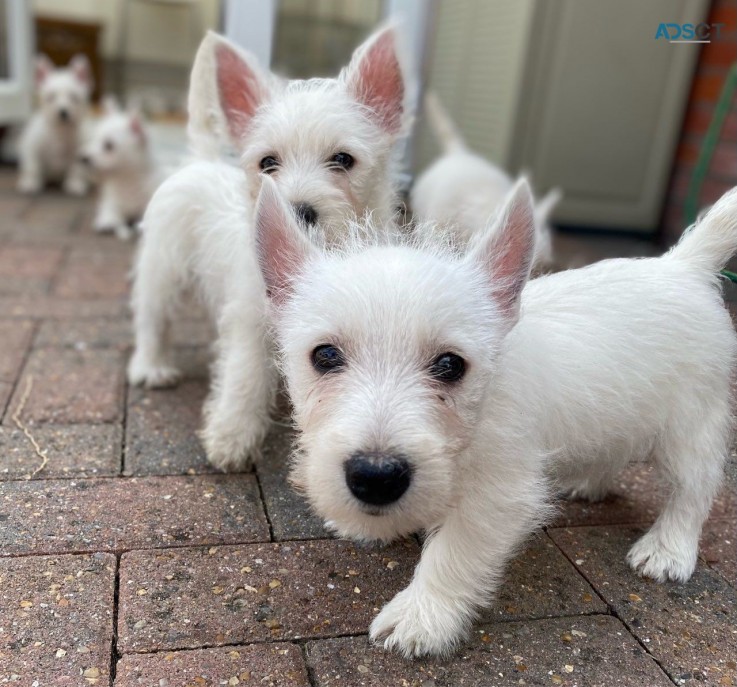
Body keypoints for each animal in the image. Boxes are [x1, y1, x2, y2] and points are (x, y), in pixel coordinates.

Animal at [16, 54, 93, 195]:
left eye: (74, 97)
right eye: (50, 97)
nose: (63, 112)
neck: (60, 130)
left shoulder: (79, 154)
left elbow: (76, 170)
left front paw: (75, 183)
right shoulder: (33, 148)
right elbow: (33, 167)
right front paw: (30, 183)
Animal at [83, 98, 164, 241]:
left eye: (108, 145)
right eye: (93, 139)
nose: (83, 158)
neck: (126, 180)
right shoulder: (115, 206)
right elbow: (118, 222)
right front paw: (122, 232)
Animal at [129, 24, 412, 470]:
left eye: (343, 159)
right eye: (267, 163)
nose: (298, 209)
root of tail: (199, 159)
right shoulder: (250, 320)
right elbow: (244, 376)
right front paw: (231, 437)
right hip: (163, 268)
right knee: (151, 317)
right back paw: (151, 367)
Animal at [254, 175, 736, 660]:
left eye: (451, 365)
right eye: (325, 356)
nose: (376, 476)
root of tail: (684, 266)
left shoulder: (501, 493)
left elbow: (454, 549)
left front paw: (422, 615)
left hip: (691, 427)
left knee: (695, 488)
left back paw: (667, 550)